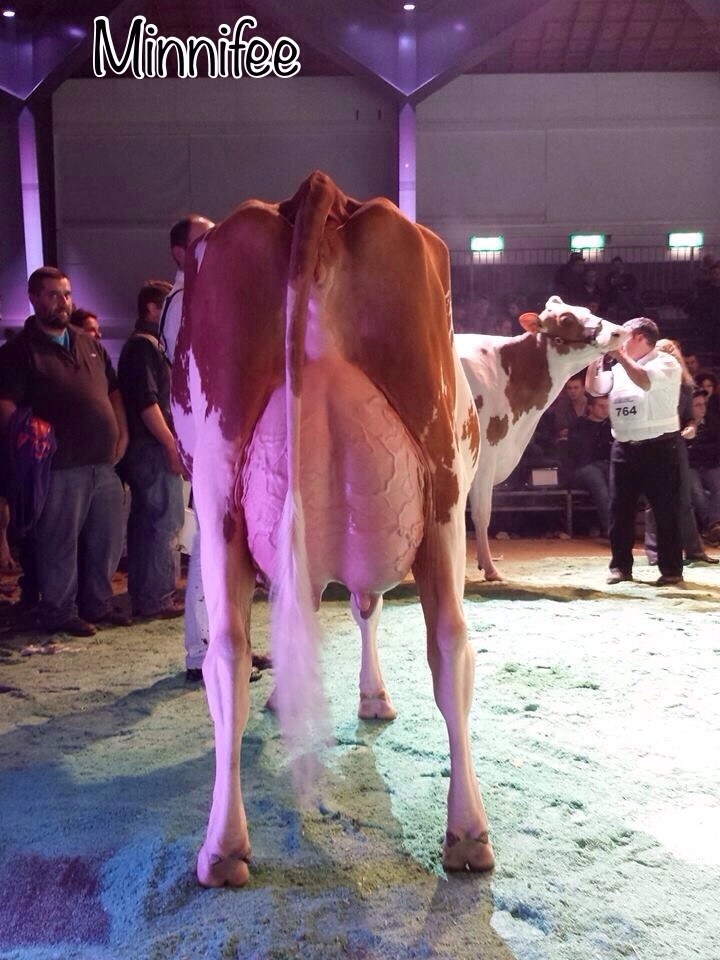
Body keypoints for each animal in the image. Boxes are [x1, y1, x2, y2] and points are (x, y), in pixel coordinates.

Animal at [171, 171, 493, 887]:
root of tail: (317, 193)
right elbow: (355, 605)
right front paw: (363, 696)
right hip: (443, 492)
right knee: (451, 640)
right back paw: (468, 833)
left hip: (219, 485)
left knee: (228, 649)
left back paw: (222, 844)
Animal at [455, 298, 630, 581]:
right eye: (566, 319)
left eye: (587, 310)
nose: (619, 331)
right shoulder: (485, 456)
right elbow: (481, 513)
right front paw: (490, 569)